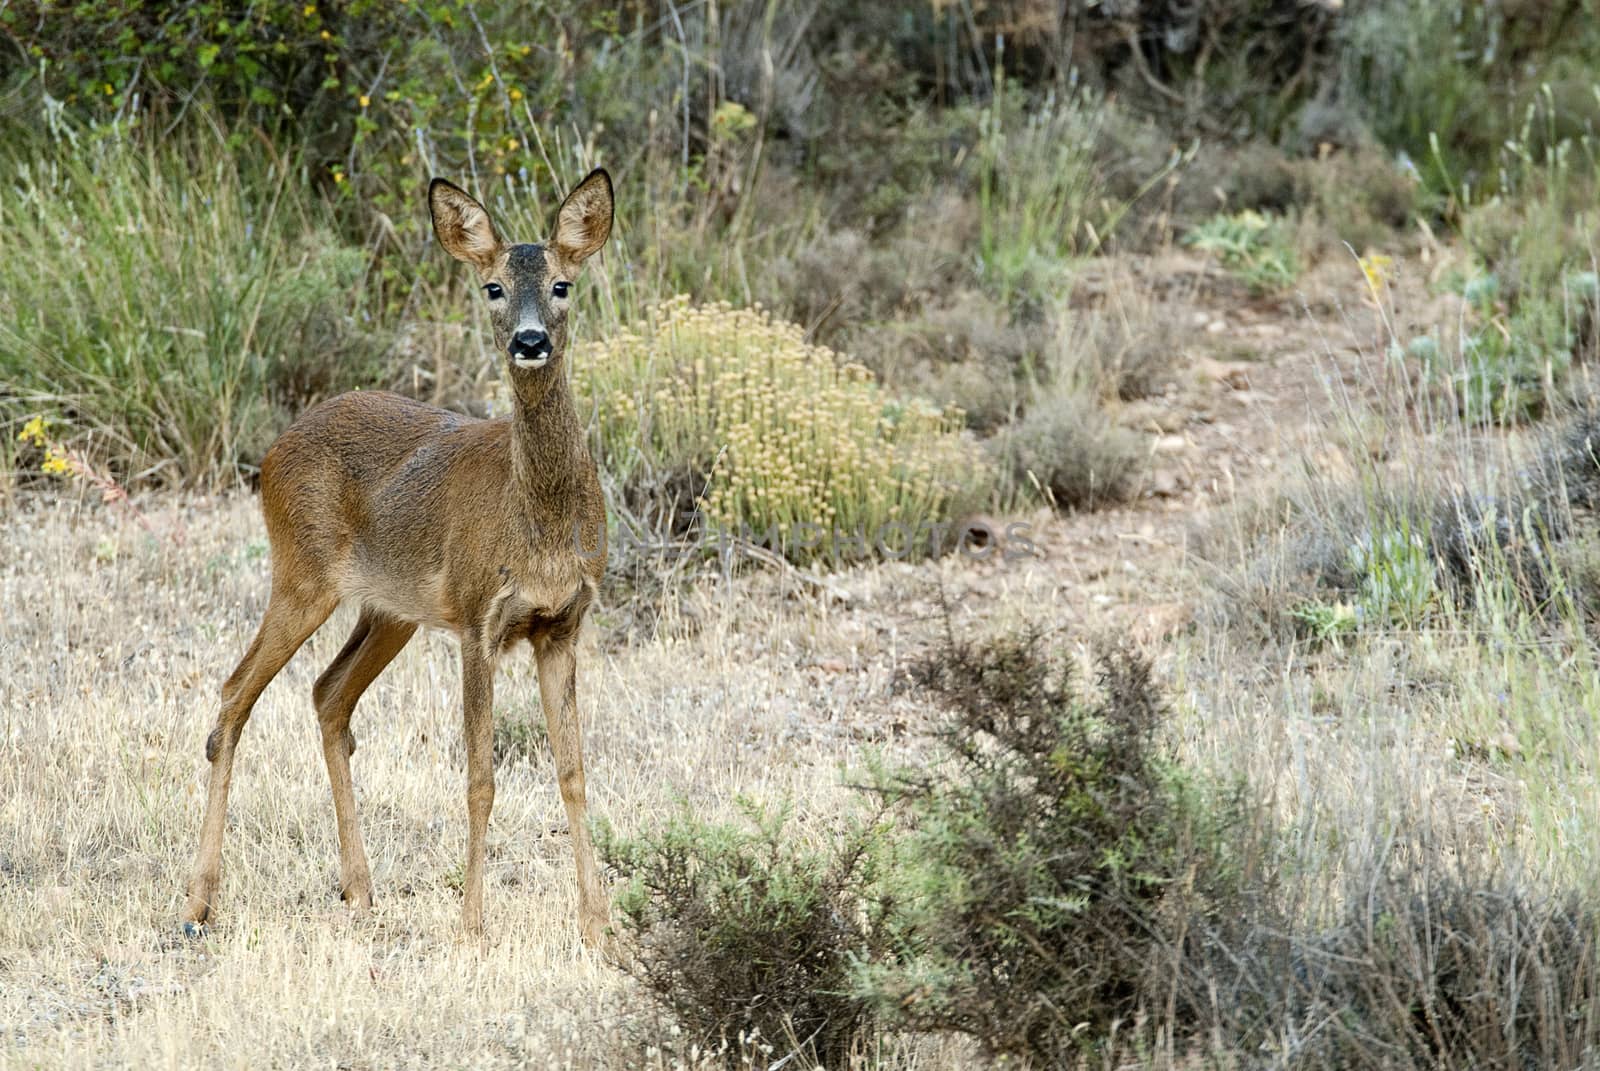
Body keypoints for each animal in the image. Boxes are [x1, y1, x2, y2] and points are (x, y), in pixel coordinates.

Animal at [181, 167, 614, 941]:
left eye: (563, 283)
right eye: (492, 287)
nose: (531, 340)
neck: (539, 524)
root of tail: (272, 451)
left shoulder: (563, 623)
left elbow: (573, 771)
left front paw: (598, 927)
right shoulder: (477, 619)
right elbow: (480, 778)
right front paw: (472, 927)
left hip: (391, 610)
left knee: (327, 694)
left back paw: (359, 890)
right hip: (301, 574)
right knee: (234, 695)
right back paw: (199, 902)